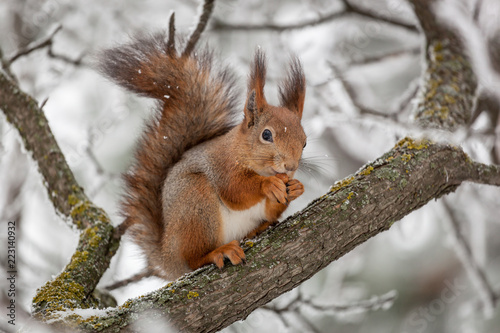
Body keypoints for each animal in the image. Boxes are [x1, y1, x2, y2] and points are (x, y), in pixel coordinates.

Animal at [98, 28, 306, 278]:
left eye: (304, 142)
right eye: (266, 135)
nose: (291, 167)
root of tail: (168, 257)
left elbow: (272, 208)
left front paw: (296, 188)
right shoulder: (222, 164)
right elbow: (235, 190)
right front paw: (268, 185)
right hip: (195, 203)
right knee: (194, 259)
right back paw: (218, 252)